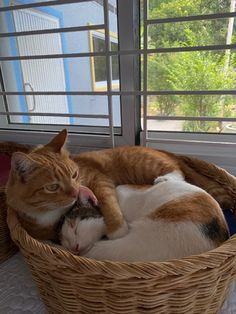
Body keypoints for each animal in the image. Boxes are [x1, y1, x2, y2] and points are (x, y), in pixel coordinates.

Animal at [6, 129, 232, 242]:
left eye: (75, 174)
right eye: (52, 187)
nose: (75, 191)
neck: (48, 214)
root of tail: (168, 151)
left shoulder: (100, 180)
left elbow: (108, 202)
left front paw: (117, 230)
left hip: (144, 164)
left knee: (177, 172)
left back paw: (164, 179)